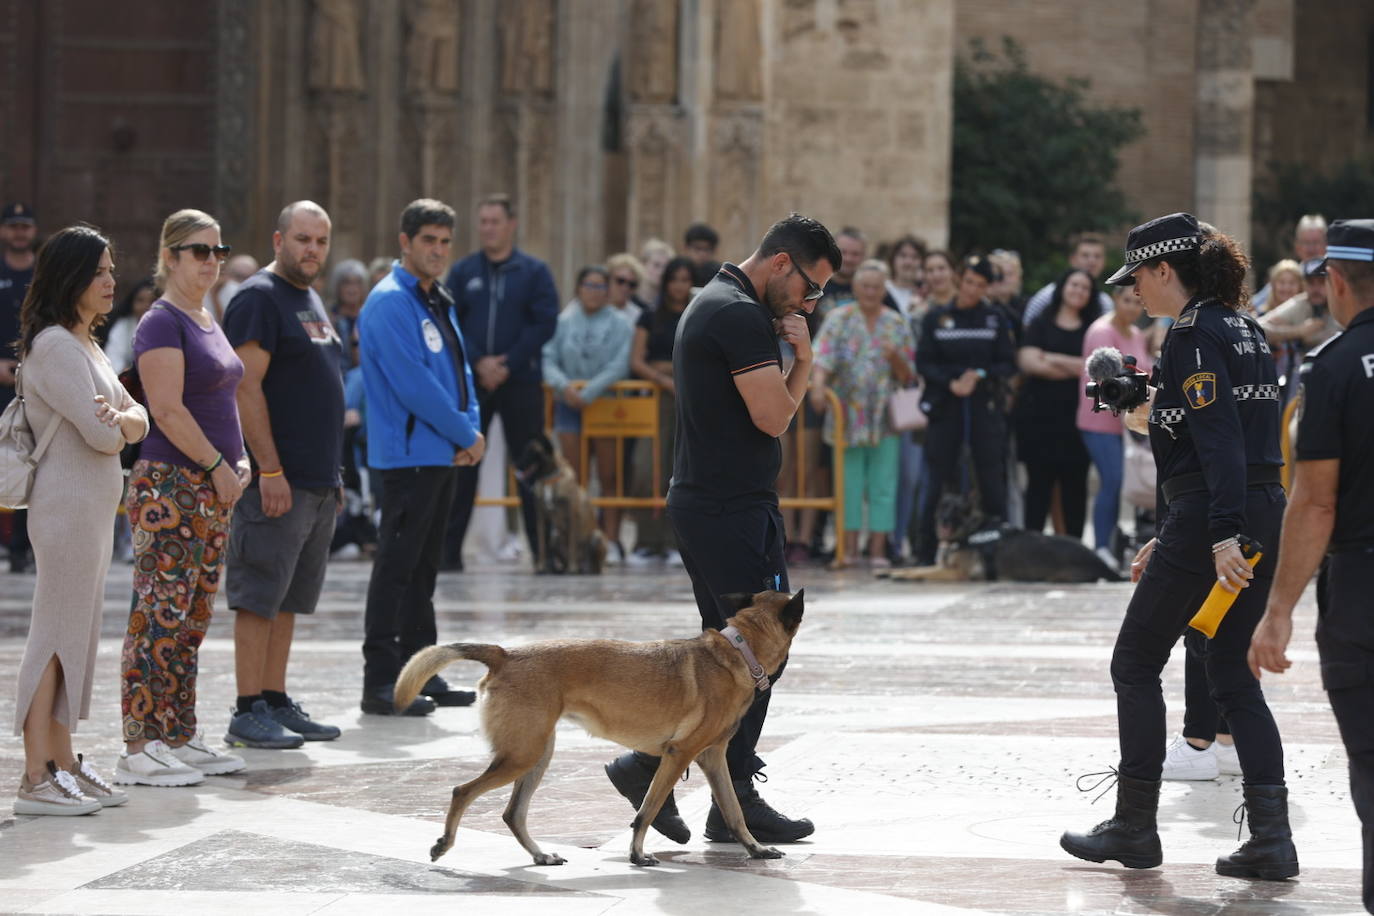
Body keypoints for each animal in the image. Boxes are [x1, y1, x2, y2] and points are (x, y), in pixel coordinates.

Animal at [392, 587, 802, 867]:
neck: (738, 652)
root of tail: (505, 654)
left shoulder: (713, 759)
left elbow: (734, 812)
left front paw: (755, 848)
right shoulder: (679, 755)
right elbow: (646, 811)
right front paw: (637, 855)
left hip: (537, 755)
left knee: (513, 813)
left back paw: (541, 855)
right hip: (521, 755)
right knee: (462, 791)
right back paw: (444, 844)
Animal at [884, 497, 1121, 585]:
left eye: (957, 510)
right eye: (944, 507)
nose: (944, 520)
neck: (970, 530)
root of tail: (1103, 565)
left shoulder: (956, 573)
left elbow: (922, 573)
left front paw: (903, 576)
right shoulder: (943, 566)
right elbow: (915, 568)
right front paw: (893, 572)